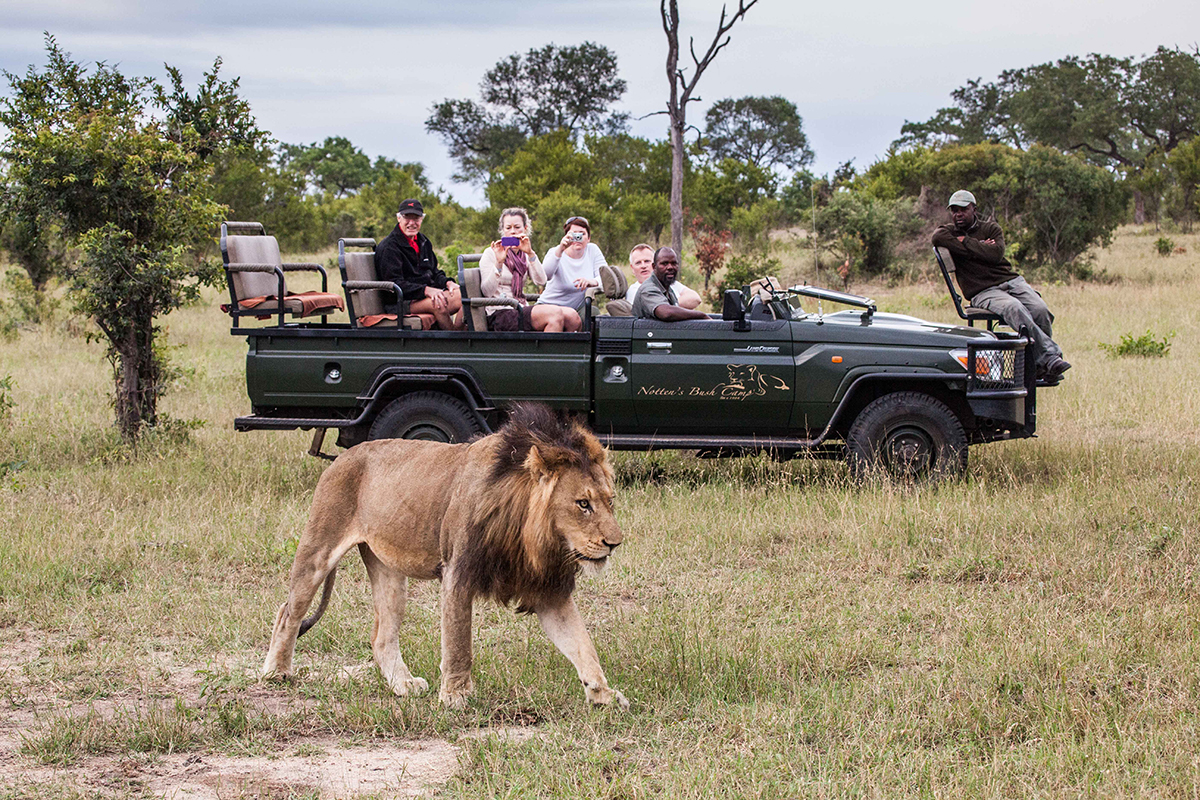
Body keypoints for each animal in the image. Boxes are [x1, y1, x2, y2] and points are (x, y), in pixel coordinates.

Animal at [261, 402, 628, 710]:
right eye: (583, 504)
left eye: (609, 501)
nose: (615, 543)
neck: (529, 534)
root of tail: (343, 456)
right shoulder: (458, 572)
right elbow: (458, 642)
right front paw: (455, 696)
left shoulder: (549, 590)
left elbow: (582, 644)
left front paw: (603, 693)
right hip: (318, 549)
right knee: (287, 613)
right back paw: (276, 672)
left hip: (389, 571)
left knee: (382, 636)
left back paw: (403, 684)